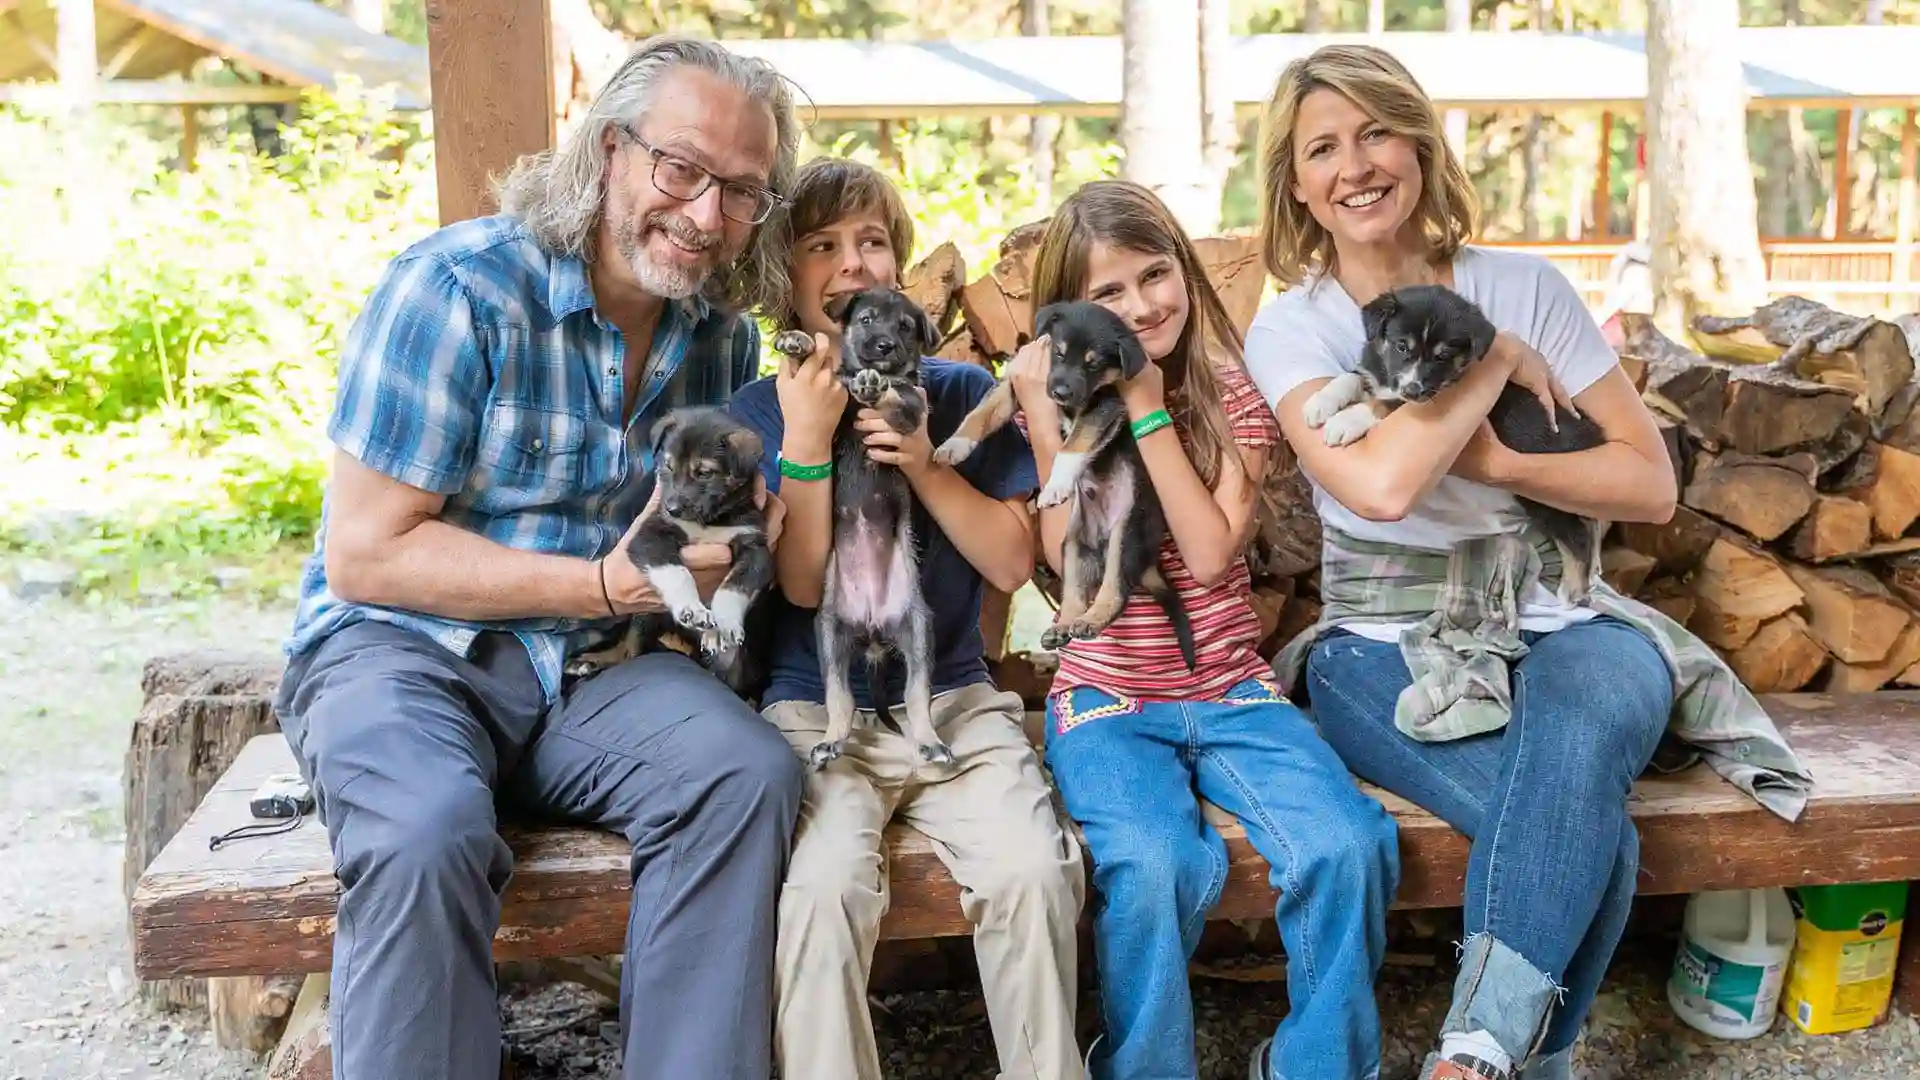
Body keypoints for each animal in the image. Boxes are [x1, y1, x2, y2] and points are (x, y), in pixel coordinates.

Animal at [610, 401, 768, 687]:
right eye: (669, 466)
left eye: (704, 473)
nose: (671, 509)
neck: (711, 521)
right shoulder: (649, 534)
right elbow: (676, 572)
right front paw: (692, 608)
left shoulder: (755, 548)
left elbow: (734, 586)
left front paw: (725, 622)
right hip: (644, 617)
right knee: (629, 650)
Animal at [764, 286, 944, 768]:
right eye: (866, 319)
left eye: (906, 328)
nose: (884, 347)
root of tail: (873, 626)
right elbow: (817, 369)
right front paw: (798, 343)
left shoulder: (911, 412)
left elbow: (897, 400)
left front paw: (876, 388)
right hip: (830, 636)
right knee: (840, 698)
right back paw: (831, 740)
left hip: (918, 630)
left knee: (916, 697)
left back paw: (931, 742)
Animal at [936, 294, 1190, 664]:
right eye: (1058, 352)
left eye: (1092, 365)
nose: (1059, 392)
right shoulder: (1013, 385)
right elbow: (981, 413)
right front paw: (954, 445)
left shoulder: (1105, 405)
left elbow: (1072, 445)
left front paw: (1056, 486)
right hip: (1072, 546)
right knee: (1073, 595)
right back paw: (1064, 626)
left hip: (1126, 533)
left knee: (1115, 591)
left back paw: (1091, 620)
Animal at [1305, 284, 1605, 607]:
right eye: (1401, 346)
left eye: (1443, 356)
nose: (1413, 389)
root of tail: (1591, 433)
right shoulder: (1381, 375)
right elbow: (1351, 377)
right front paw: (1319, 404)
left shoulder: (1421, 399)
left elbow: (1384, 403)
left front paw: (1345, 422)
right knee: (1591, 519)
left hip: (1542, 490)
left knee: (1577, 533)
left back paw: (1572, 590)